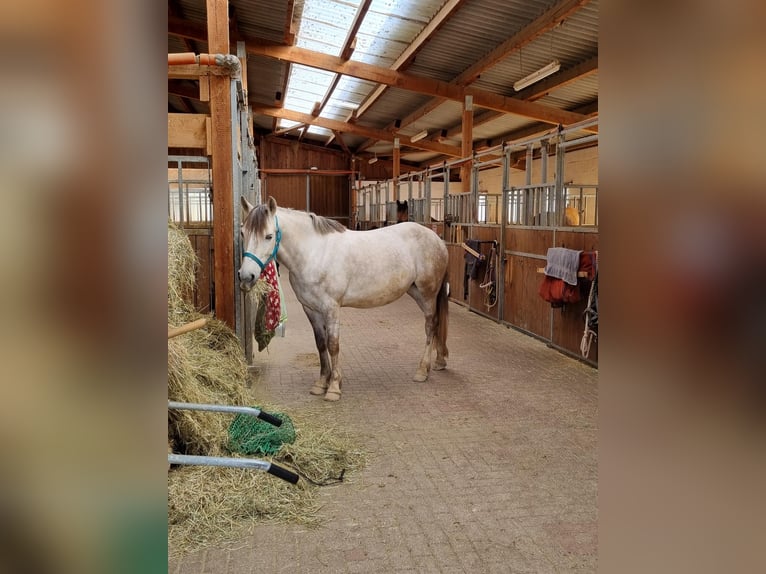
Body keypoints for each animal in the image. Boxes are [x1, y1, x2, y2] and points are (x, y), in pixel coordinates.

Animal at [238, 196, 450, 401]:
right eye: (242, 233)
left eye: (269, 236)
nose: (246, 276)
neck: (314, 253)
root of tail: (437, 239)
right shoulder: (311, 309)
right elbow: (321, 344)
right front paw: (321, 383)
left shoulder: (331, 308)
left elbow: (333, 345)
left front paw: (333, 388)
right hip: (415, 292)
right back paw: (438, 361)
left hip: (427, 294)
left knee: (431, 325)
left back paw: (422, 371)